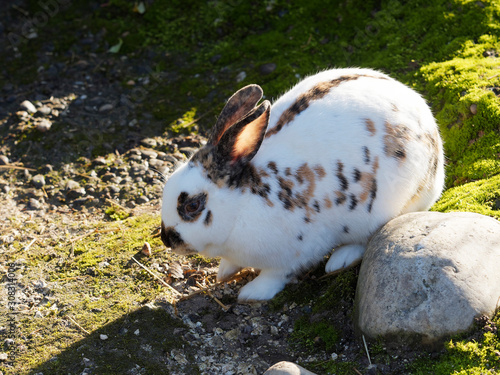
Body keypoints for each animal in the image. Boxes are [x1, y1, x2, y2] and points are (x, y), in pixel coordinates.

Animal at [160, 67, 446, 302]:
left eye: (193, 205)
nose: (166, 239)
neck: (242, 205)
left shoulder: (297, 252)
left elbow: (276, 275)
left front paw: (251, 293)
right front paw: (224, 272)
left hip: (385, 208)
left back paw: (339, 260)